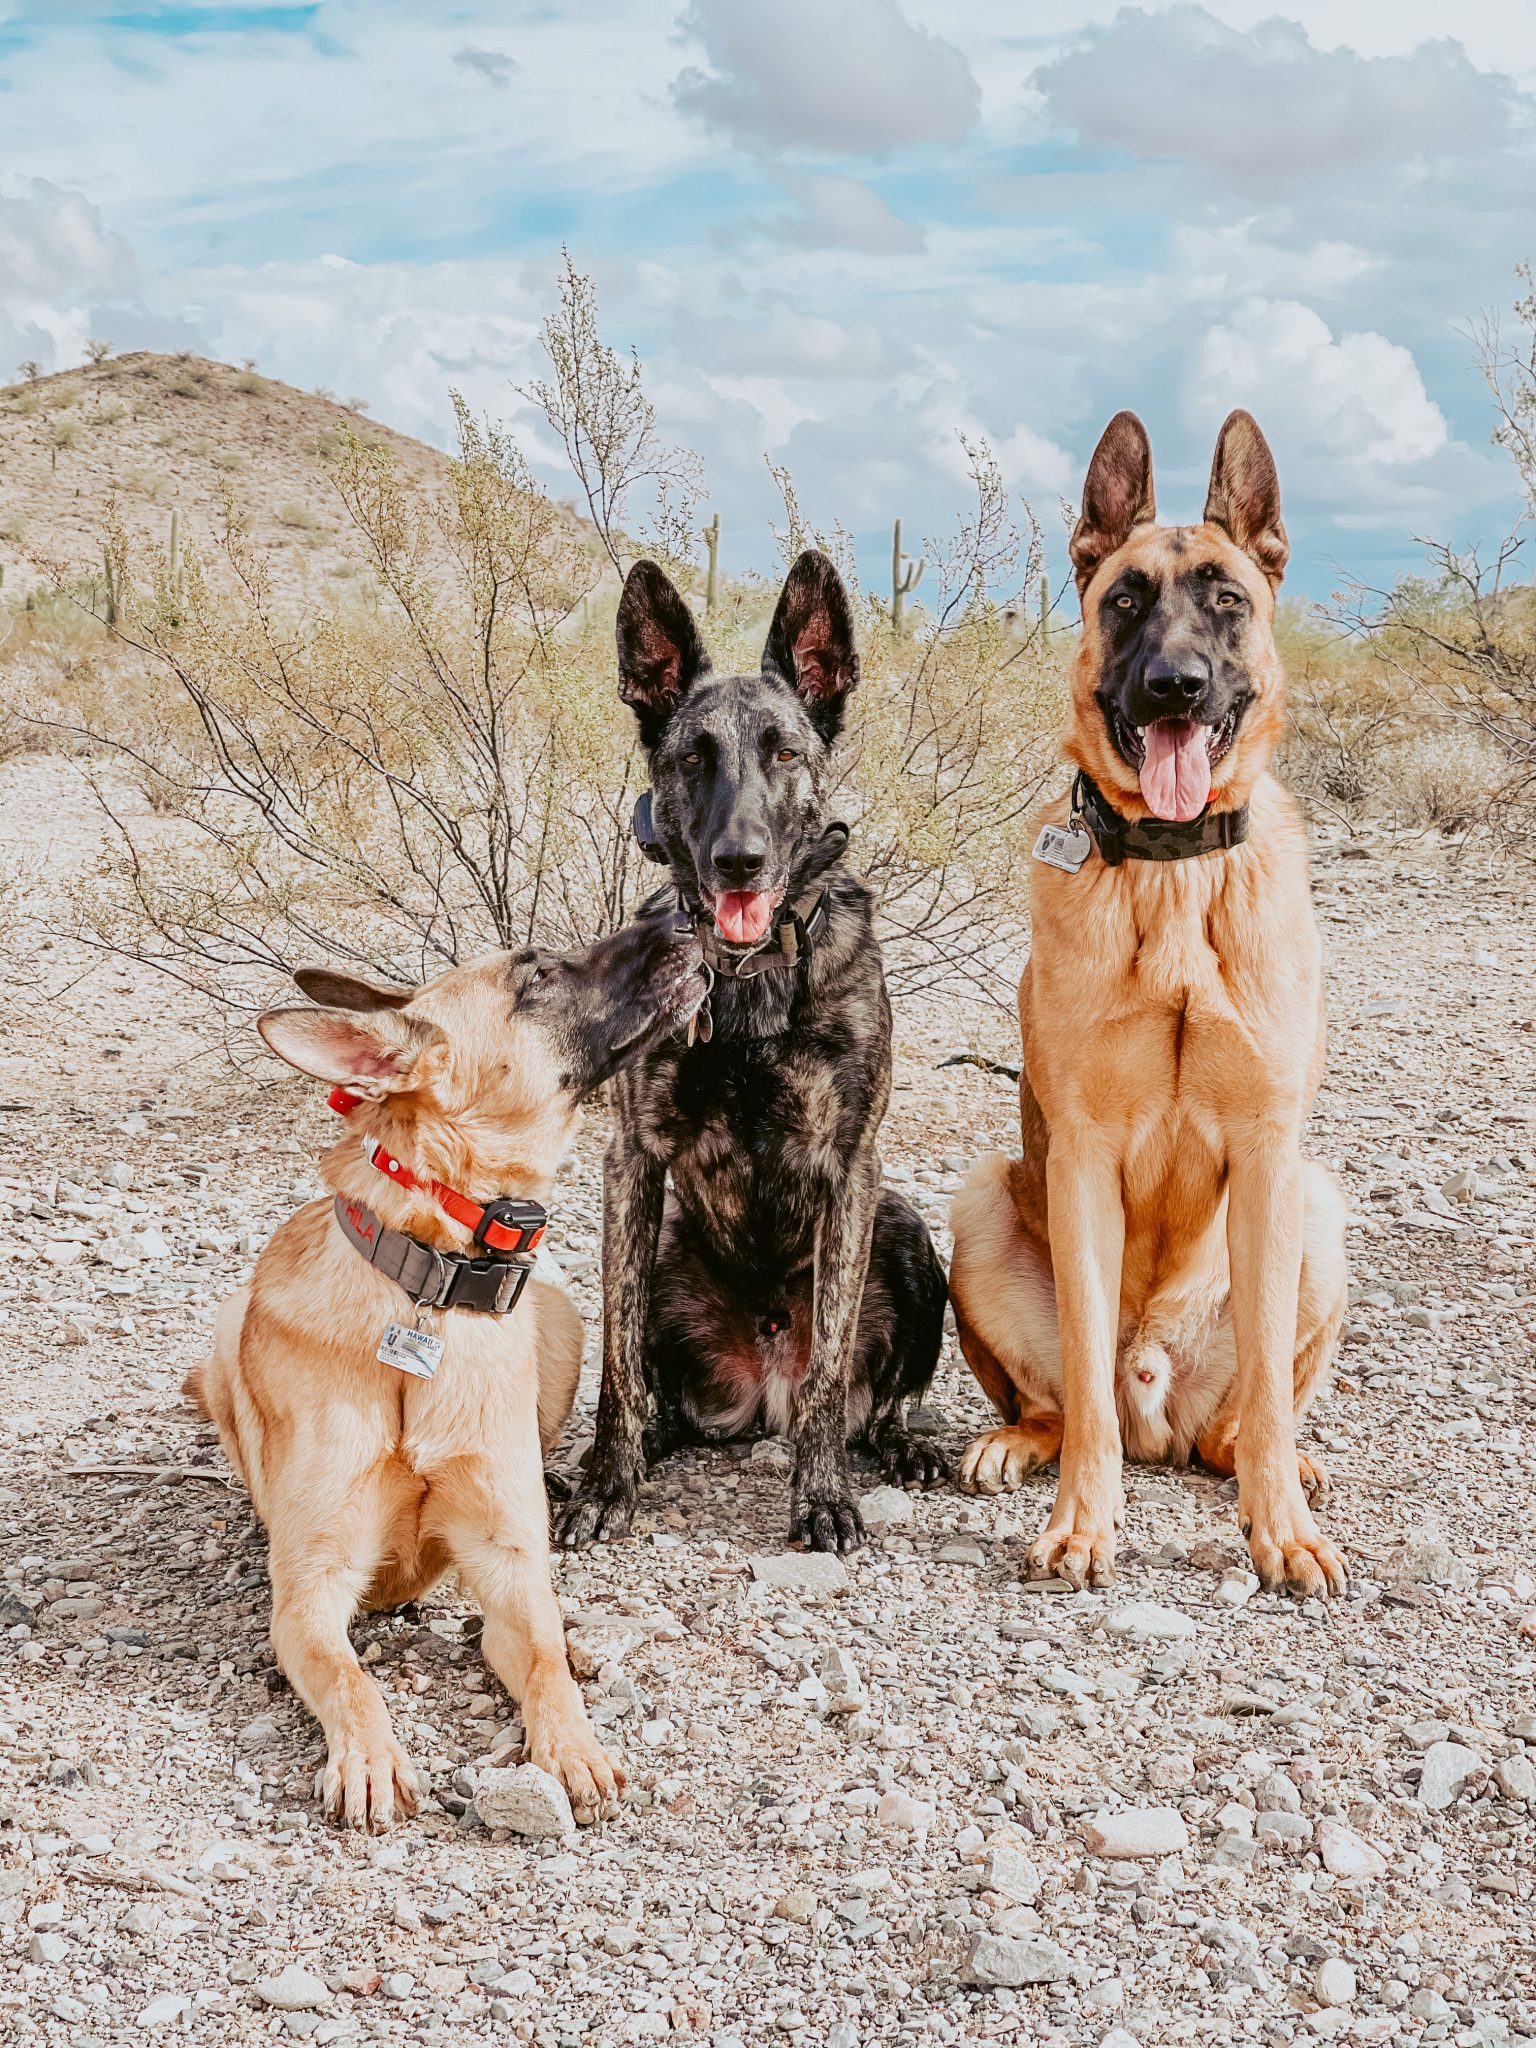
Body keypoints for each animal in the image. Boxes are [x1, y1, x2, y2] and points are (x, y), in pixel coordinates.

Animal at [186, 929, 708, 1826]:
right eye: (537, 974)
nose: (685, 924)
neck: (430, 1282)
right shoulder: (310, 1594)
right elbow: (350, 1678)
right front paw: (368, 1758)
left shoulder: (506, 1569)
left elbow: (546, 1659)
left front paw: (574, 1744)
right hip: (222, 1334)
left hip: (562, 1322)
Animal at [561, 548, 950, 1548]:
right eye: (691, 759)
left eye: (784, 751)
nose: (738, 861)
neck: (745, 984)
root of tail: (758, 1391)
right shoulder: (631, 1164)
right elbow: (616, 1363)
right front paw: (606, 1484)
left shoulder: (852, 1165)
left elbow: (831, 1375)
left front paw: (822, 1498)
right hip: (665, 1242)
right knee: (654, 1389)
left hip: (903, 1226)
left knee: (872, 1398)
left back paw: (903, 1445)